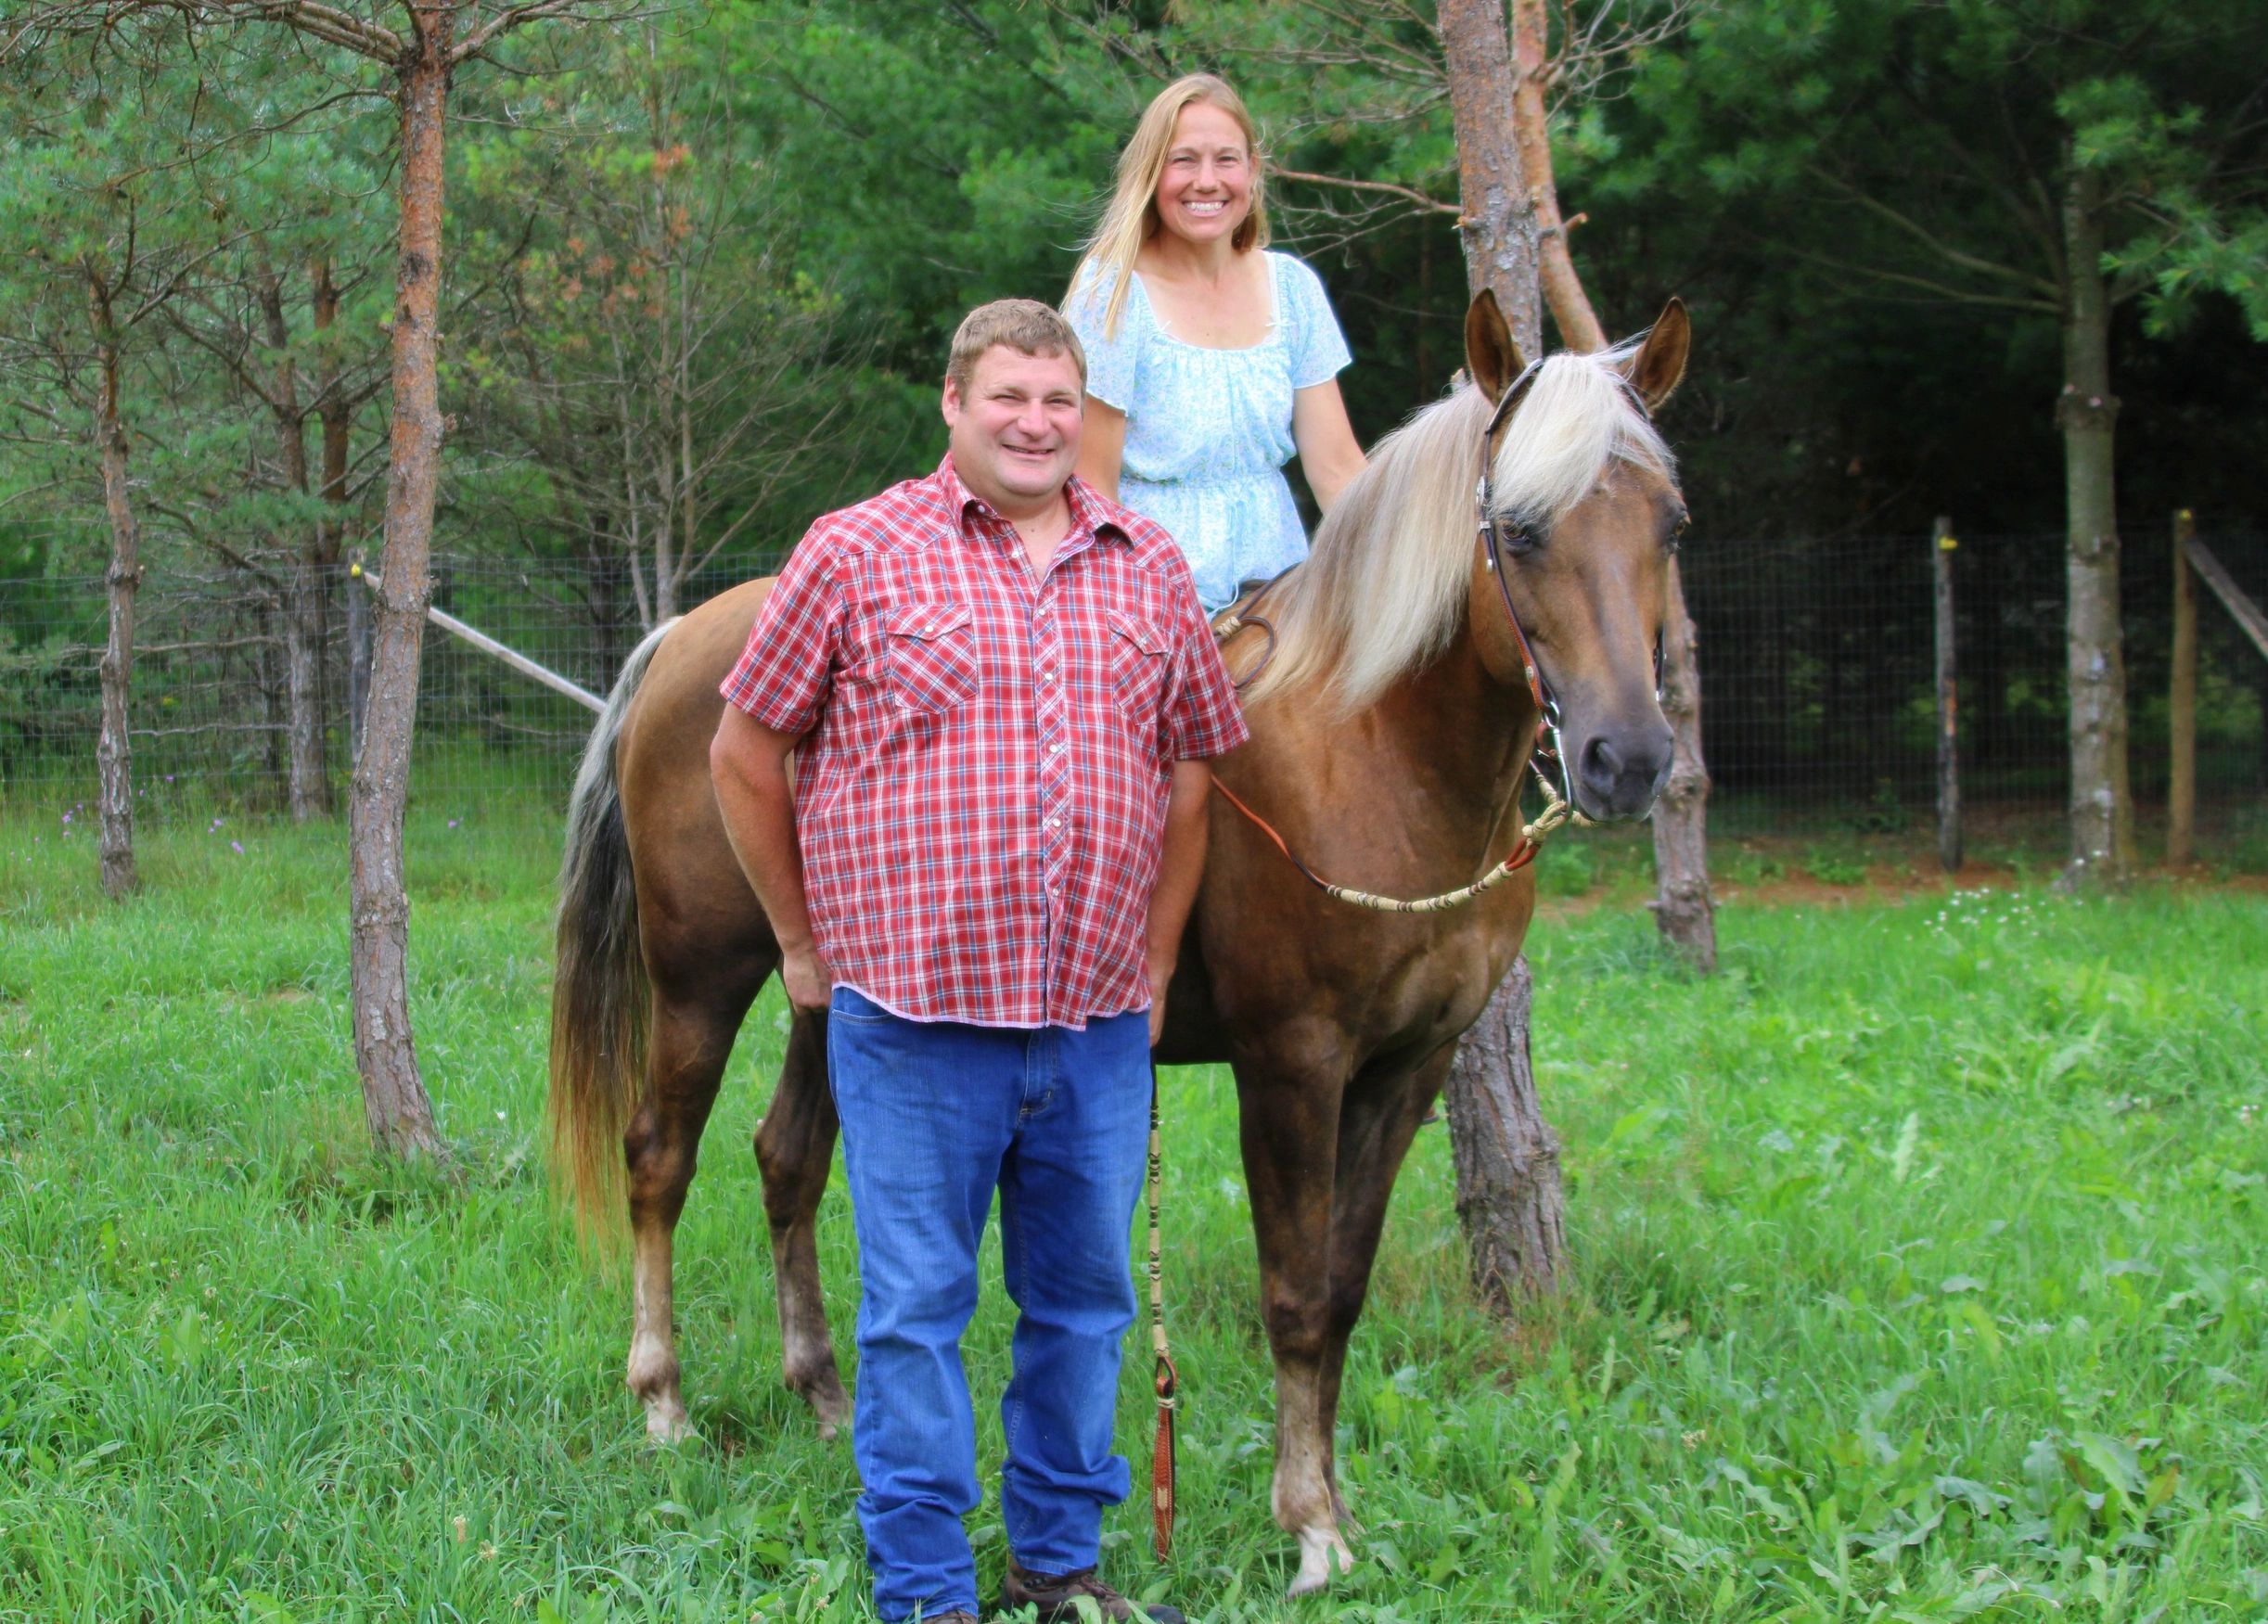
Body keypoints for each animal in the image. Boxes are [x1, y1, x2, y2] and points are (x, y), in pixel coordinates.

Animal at [544, 292, 1687, 1596]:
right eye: (1524, 529)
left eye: (1671, 525)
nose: (1627, 758)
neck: (1370, 752)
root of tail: (694, 633)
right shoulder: (1291, 1064)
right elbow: (1296, 1293)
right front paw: (1309, 1527)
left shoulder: (1412, 1066)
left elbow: (1342, 1290)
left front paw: (1336, 1508)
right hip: (703, 981)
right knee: (658, 1159)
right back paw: (663, 1401)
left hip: (831, 994)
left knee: (787, 1157)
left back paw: (826, 1395)